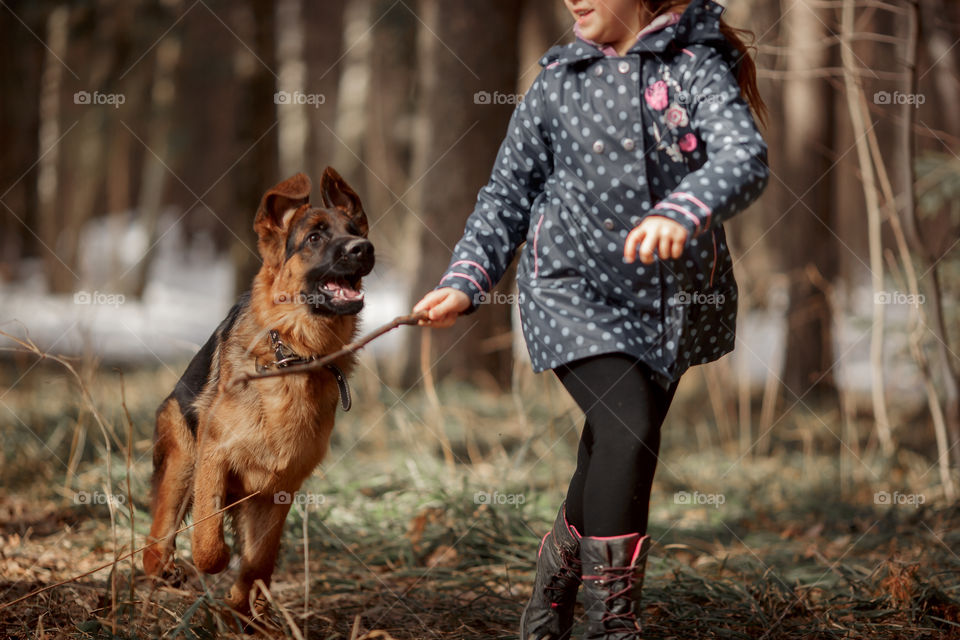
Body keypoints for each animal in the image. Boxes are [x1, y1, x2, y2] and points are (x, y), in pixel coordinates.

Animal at [142, 169, 376, 616]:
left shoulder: (280, 488)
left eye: (354, 231)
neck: (293, 353)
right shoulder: (214, 458)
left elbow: (260, 561)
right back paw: (165, 567)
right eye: (314, 238)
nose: (364, 249)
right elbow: (210, 544)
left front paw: (244, 605)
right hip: (182, 464)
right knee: (155, 543)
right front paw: (215, 570)